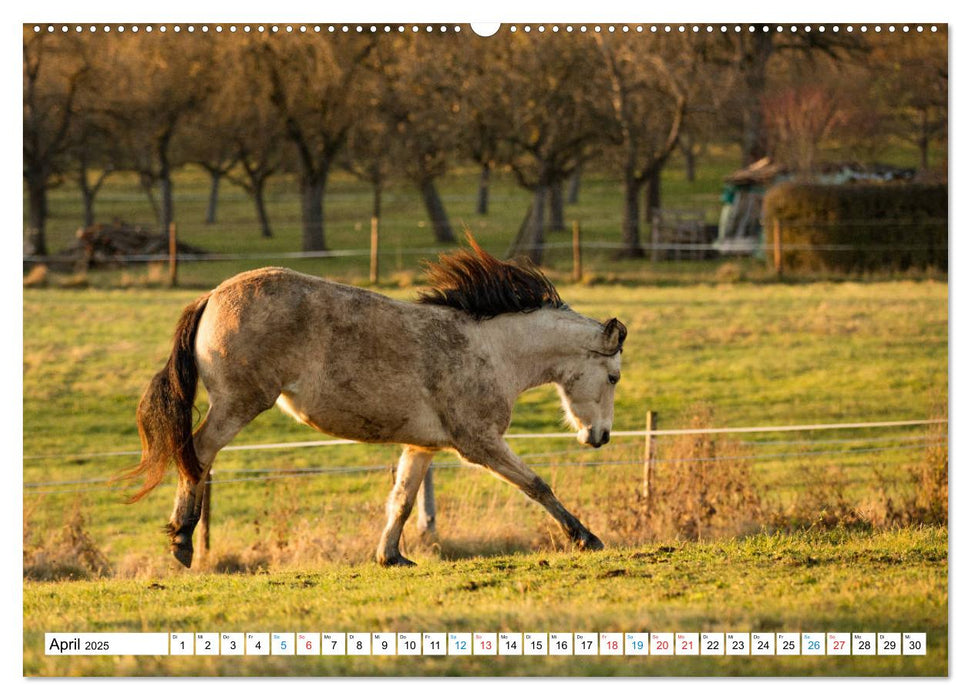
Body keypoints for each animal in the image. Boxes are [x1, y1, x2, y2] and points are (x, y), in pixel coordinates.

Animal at [125, 238, 628, 568]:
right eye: (613, 377)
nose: (600, 437)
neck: (493, 350)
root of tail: (212, 295)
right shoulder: (480, 443)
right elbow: (537, 485)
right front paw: (586, 538)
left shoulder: (425, 446)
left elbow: (401, 501)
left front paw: (391, 557)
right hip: (238, 403)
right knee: (197, 454)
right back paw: (182, 542)